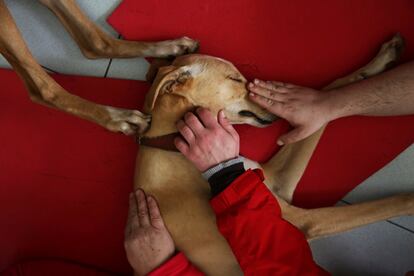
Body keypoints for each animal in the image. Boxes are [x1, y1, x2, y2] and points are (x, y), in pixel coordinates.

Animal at [1, 1, 412, 274]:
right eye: (234, 79)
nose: (278, 113)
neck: (176, 147)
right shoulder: (295, 224)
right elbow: (379, 205)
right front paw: (407, 200)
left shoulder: (277, 181)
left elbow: (330, 95)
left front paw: (379, 61)